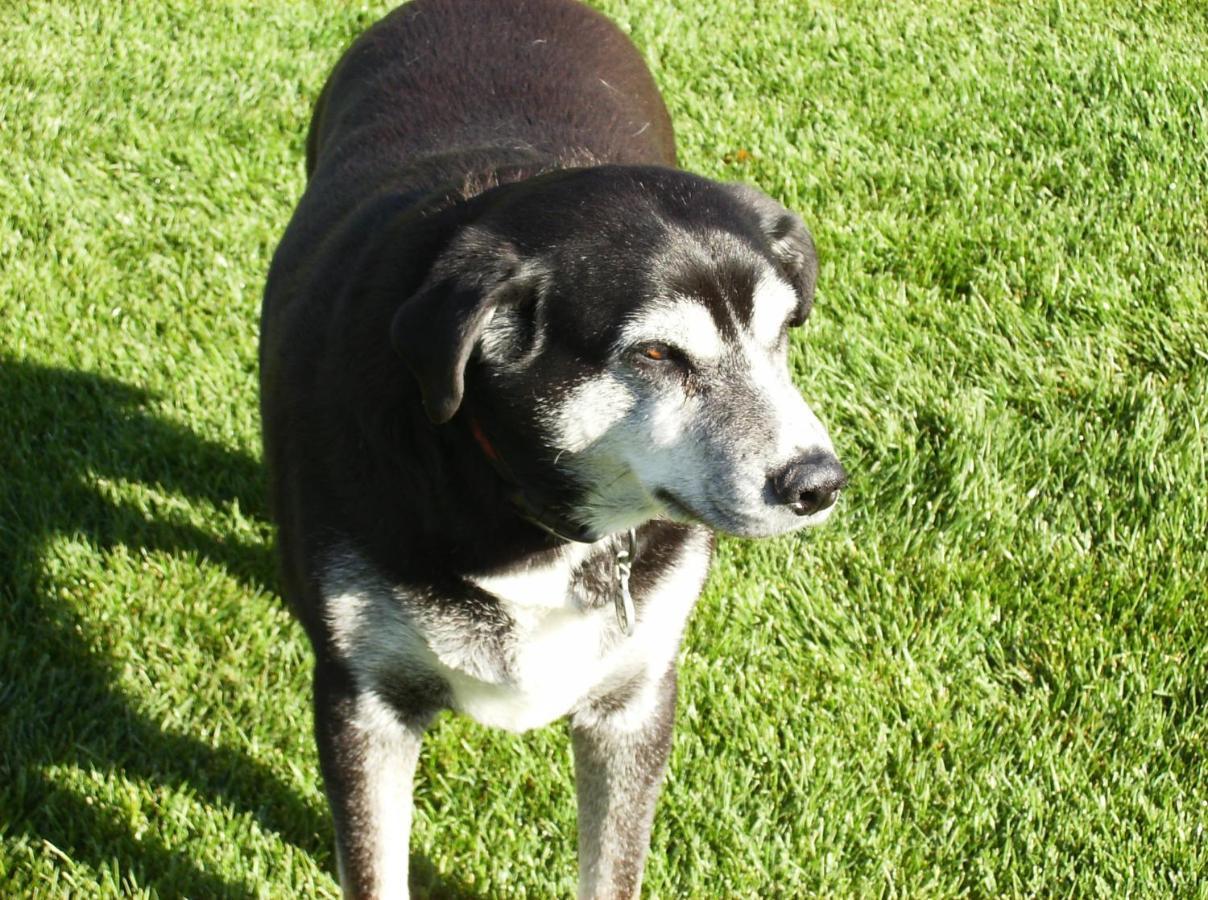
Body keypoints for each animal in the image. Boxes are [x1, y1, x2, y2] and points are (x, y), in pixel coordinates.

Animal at [262, 1, 850, 893]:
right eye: (655, 354)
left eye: (783, 330)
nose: (817, 482)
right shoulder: (362, 703)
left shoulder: (633, 698)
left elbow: (611, 867)